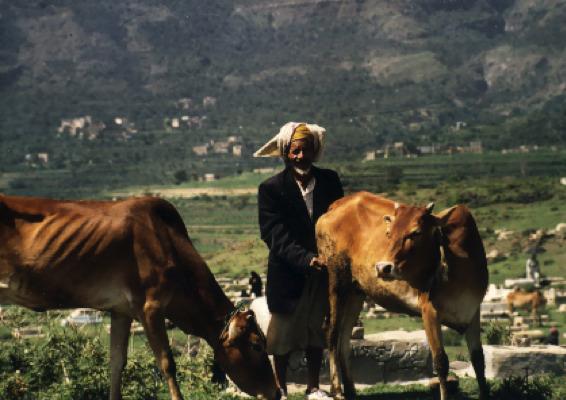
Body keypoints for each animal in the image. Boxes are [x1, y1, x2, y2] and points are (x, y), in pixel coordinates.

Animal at [0, 192, 280, 398]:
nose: (276, 392)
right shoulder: (151, 307)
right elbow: (167, 363)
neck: (168, 241)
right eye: (256, 344)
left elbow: (116, 364)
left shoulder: (121, 311)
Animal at [318, 192, 490, 400]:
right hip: (336, 280)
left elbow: (478, 358)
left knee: (343, 340)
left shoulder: (473, 310)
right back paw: (337, 391)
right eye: (389, 233)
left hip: (355, 292)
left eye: (416, 232)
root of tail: (335, 206)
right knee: (332, 333)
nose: (382, 267)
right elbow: (441, 361)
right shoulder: (429, 311)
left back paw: (351, 390)